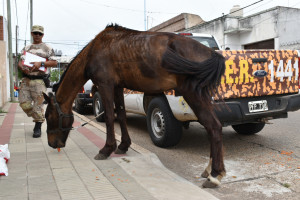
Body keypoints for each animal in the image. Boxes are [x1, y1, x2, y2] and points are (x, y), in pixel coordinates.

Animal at [42, 24, 225, 188]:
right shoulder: (118, 87)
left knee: (213, 126)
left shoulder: (106, 85)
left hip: (193, 94)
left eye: (49, 116)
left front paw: (107, 149)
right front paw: (123, 146)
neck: (94, 51)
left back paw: (214, 175)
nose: (51, 144)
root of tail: (210, 53)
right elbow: (121, 115)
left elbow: (109, 116)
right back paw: (211, 170)